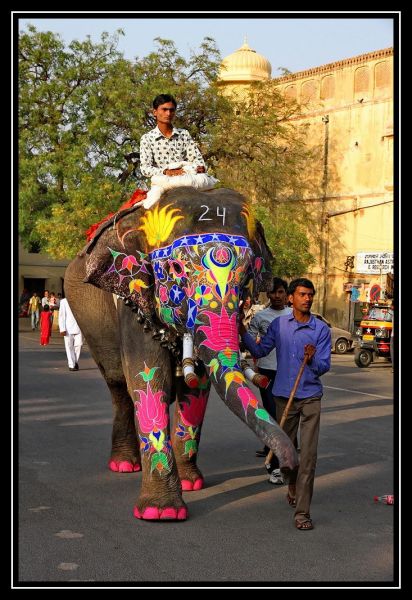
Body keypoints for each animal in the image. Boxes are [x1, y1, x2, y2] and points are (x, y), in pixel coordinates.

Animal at [63, 188, 296, 520]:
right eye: (175, 269)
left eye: (247, 276)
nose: (284, 471)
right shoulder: (134, 301)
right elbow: (149, 377)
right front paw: (161, 513)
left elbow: (197, 385)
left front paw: (191, 485)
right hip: (90, 320)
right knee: (119, 385)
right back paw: (123, 465)